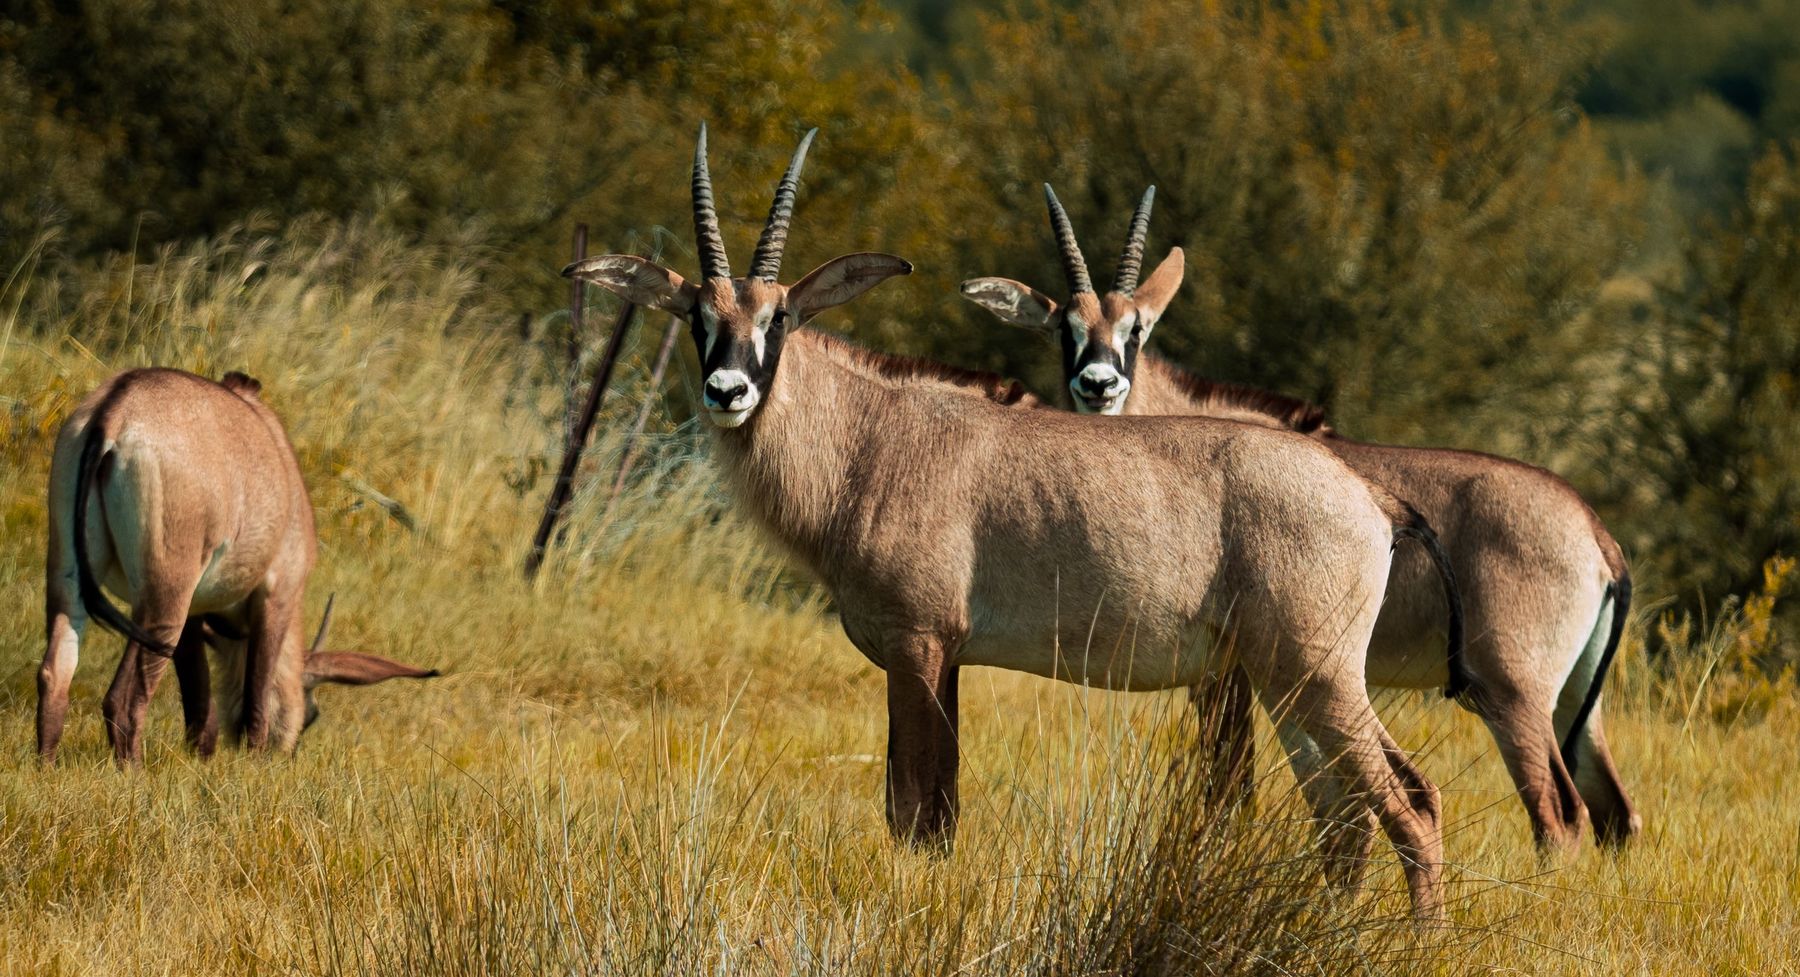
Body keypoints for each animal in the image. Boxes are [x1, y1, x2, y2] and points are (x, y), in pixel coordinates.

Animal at [38, 368, 439, 764]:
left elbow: (200, 705)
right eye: (312, 714)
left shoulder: (196, 612)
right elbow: (256, 701)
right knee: (123, 699)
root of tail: (118, 408)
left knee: (55, 673)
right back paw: (133, 772)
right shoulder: (278, 593)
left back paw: (47, 766)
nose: (286, 754)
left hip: (70, 578)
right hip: (165, 601)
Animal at [567, 126, 1474, 917]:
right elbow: (926, 809)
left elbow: (918, 811)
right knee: (1344, 815)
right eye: (695, 315)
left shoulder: (919, 646)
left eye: (779, 315)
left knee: (1411, 800)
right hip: (1288, 682)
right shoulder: (943, 658)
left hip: (1318, 675)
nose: (728, 391)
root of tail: (1368, 497)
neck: (871, 439)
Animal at [962, 186, 1641, 850]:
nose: (1098, 385)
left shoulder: (1228, 674)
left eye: (1138, 329)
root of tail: (1596, 535)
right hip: (1572, 704)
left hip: (1512, 697)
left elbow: (1231, 786)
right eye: (1064, 329)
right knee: (1614, 812)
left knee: (1559, 814)